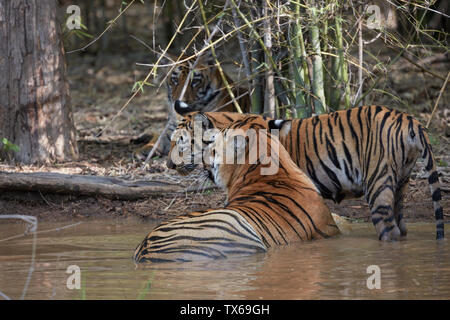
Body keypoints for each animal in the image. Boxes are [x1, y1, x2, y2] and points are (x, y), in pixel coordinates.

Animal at [167, 106, 444, 241]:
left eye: (180, 142)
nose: (168, 165)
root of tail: (408, 119)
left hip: (378, 183)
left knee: (389, 231)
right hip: (401, 183)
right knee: (402, 226)